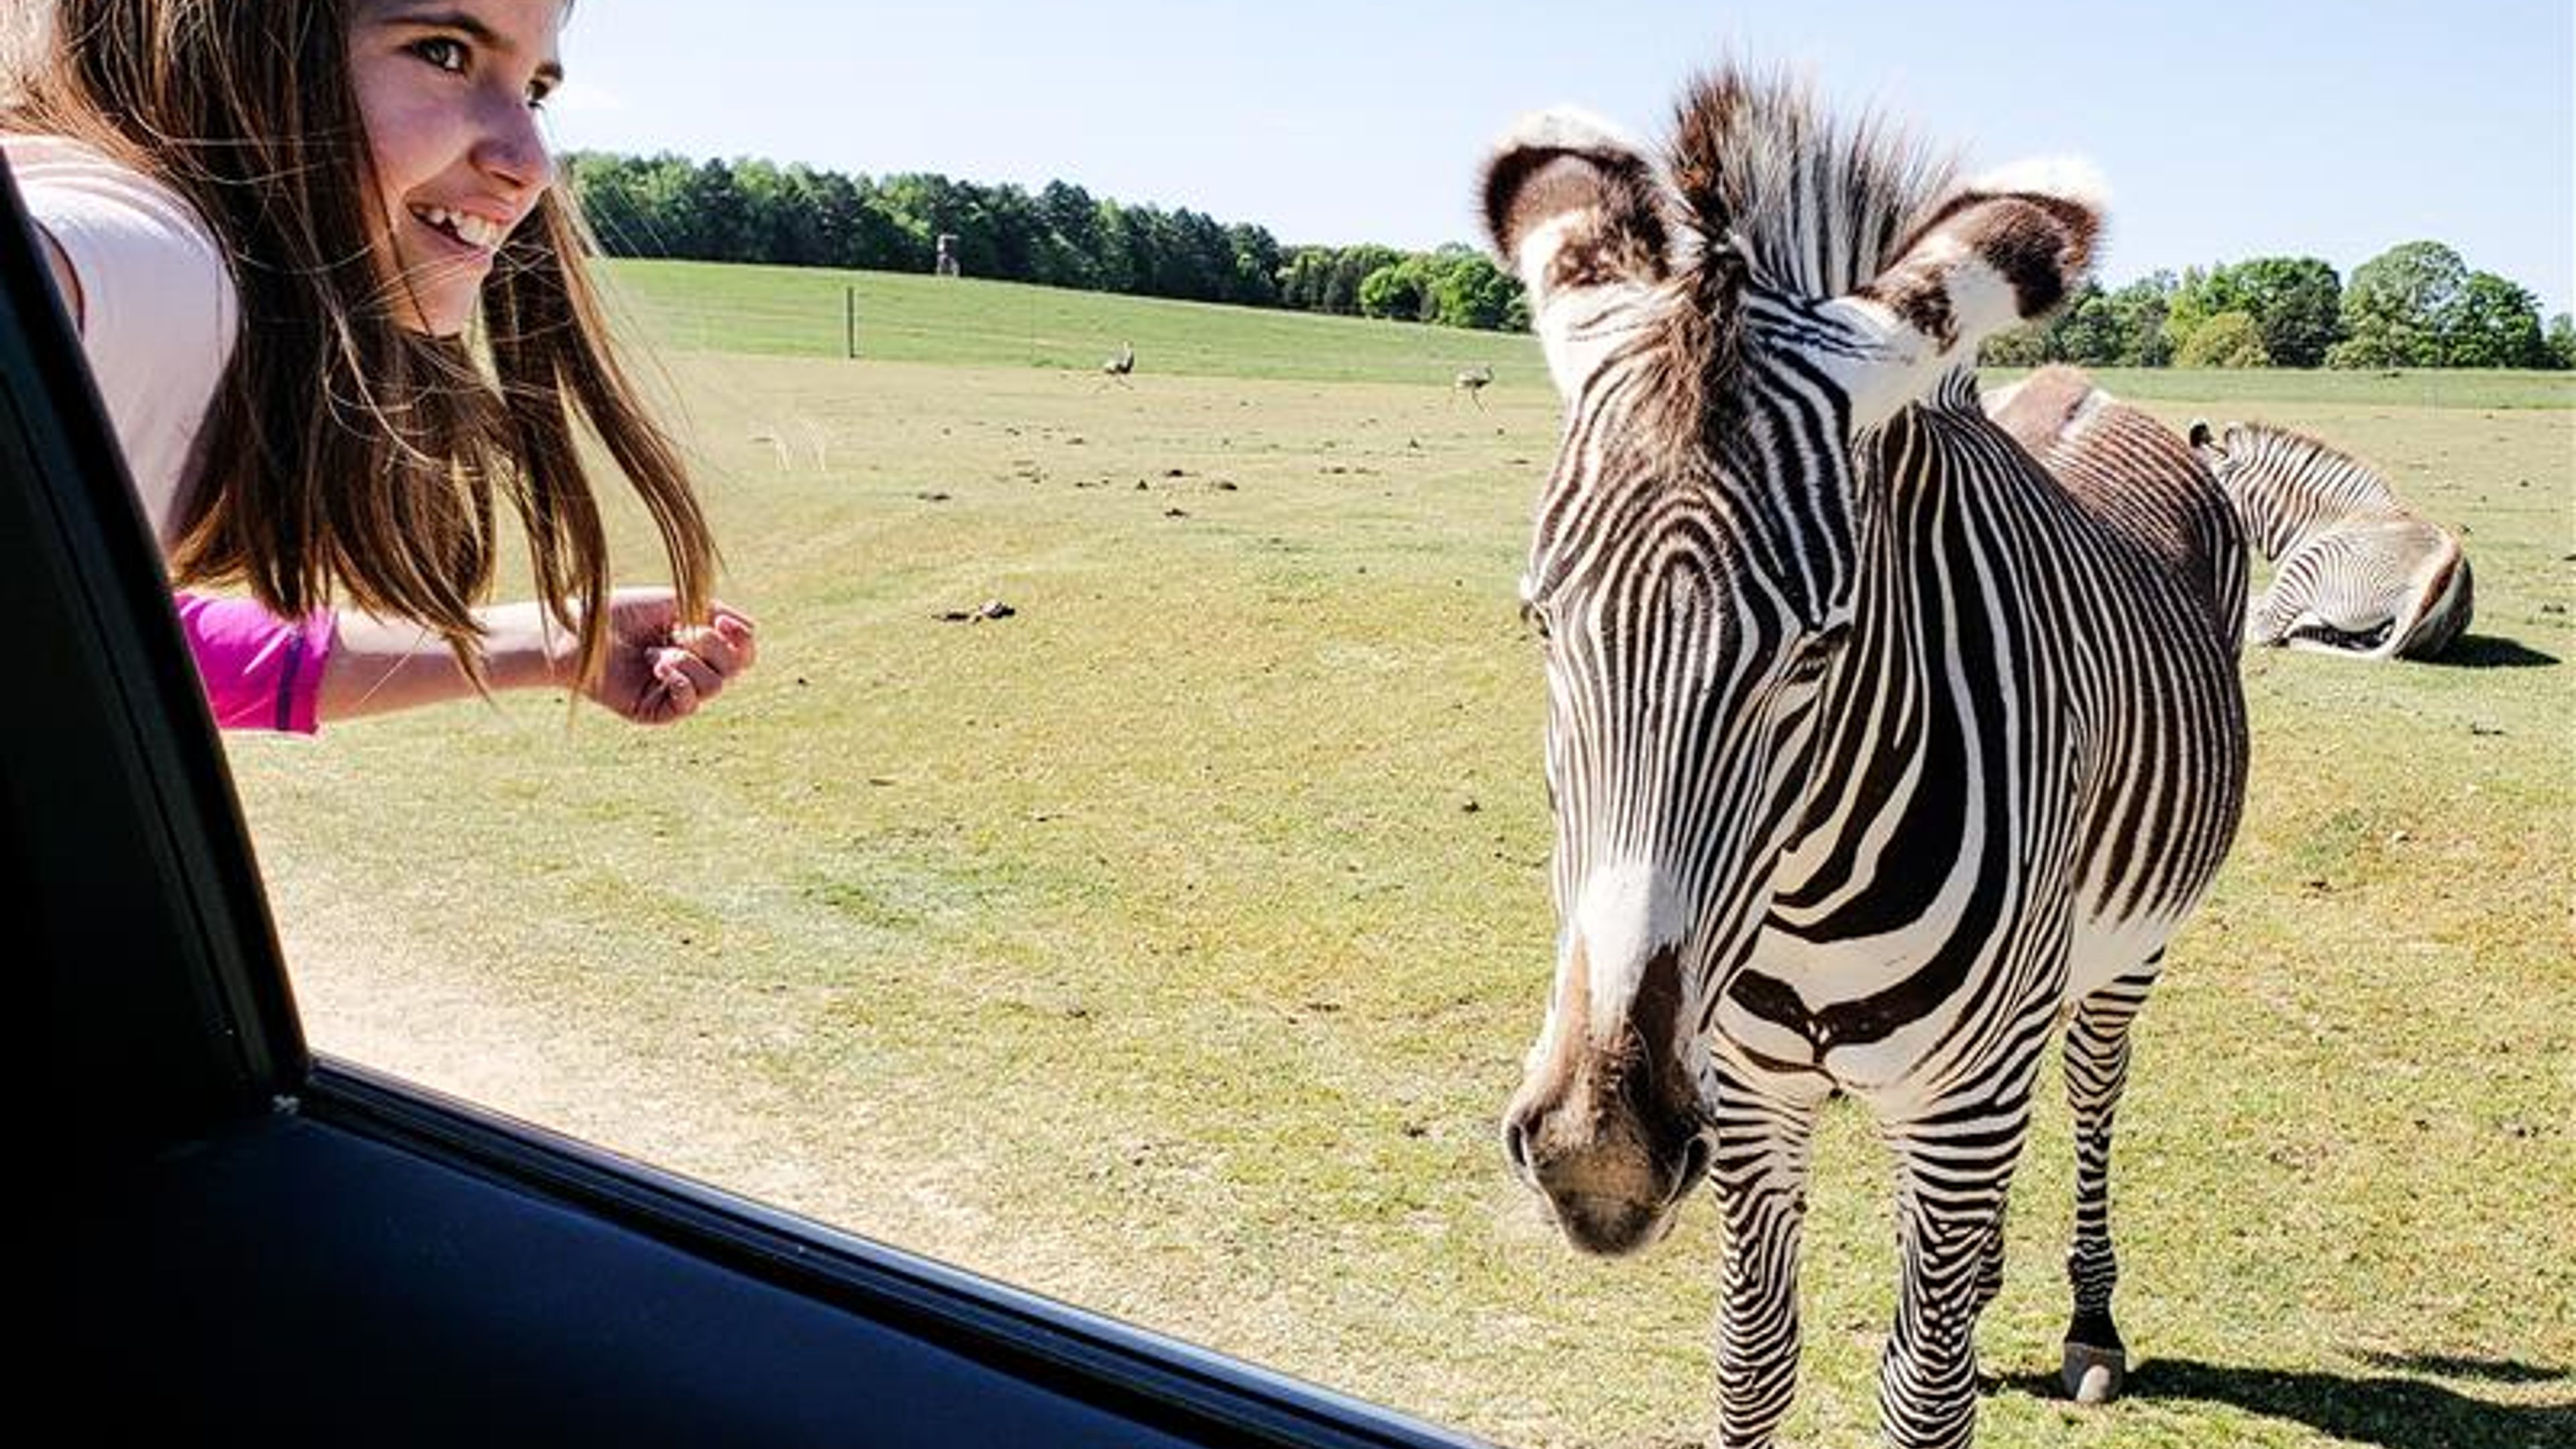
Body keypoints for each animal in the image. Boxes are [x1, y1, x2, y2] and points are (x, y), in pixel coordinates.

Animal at [1494, 67, 2256, 1444]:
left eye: (1822, 649)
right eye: (1540, 622)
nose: (1600, 1149)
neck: (1810, 897)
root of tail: (2087, 390)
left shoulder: (1959, 1106)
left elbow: (1925, 1388)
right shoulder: (1752, 1093)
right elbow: (1754, 1355)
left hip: (2127, 959)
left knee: (2095, 1089)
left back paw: (2089, 1318)